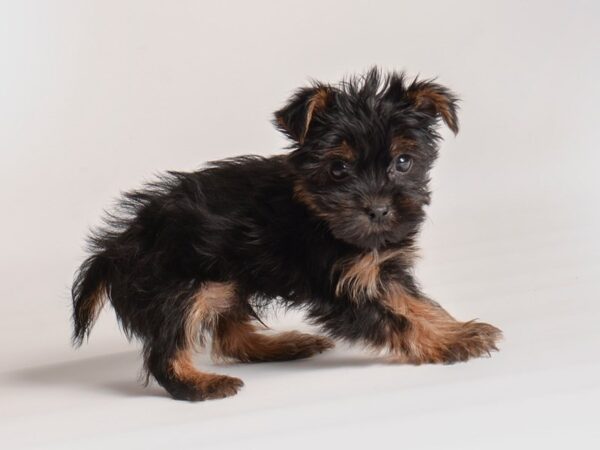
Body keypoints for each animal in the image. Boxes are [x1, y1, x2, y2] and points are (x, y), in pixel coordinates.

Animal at [71, 69, 502, 400]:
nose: (379, 209)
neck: (316, 211)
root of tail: (118, 245)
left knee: (230, 336)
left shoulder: (379, 270)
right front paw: (448, 343)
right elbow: (397, 319)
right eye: (338, 169)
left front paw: (457, 328)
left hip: (226, 279)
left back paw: (285, 344)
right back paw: (200, 385)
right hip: (182, 284)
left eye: (403, 162)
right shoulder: (341, 287)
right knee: (166, 350)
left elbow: (418, 304)